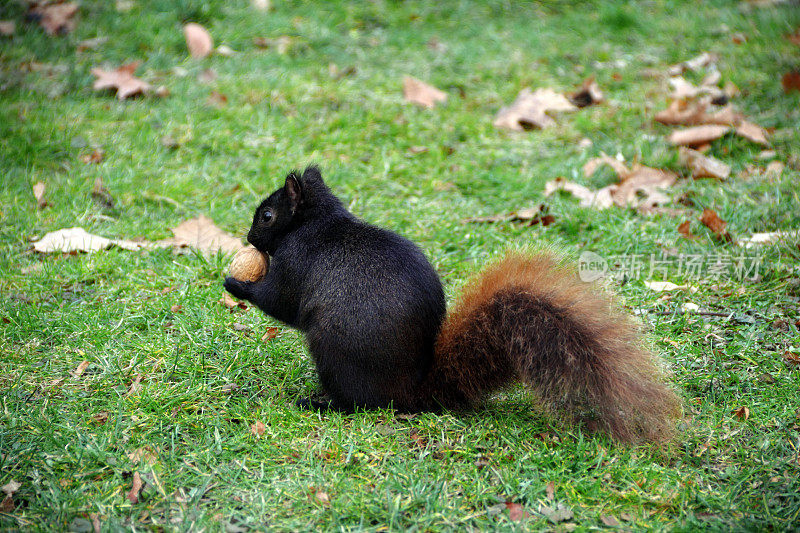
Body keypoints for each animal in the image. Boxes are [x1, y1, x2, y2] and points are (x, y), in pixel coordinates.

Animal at [225, 165, 680, 440]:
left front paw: (236, 283)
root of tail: (412, 392)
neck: (315, 222)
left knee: (357, 403)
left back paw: (318, 402)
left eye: (267, 216)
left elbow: (280, 302)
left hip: (333, 350)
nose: (248, 238)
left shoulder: (295, 263)